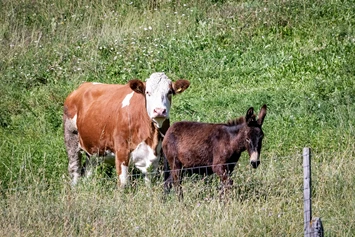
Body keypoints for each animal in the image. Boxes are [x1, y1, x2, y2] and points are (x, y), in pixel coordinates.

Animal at [64, 72, 192, 187]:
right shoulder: (121, 152)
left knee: (89, 169)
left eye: (169, 92)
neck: (151, 137)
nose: (159, 110)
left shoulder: (155, 158)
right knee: (74, 169)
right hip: (71, 137)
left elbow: (150, 185)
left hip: (94, 148)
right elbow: (124, 184)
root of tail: (83, 86)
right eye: (147, 92)